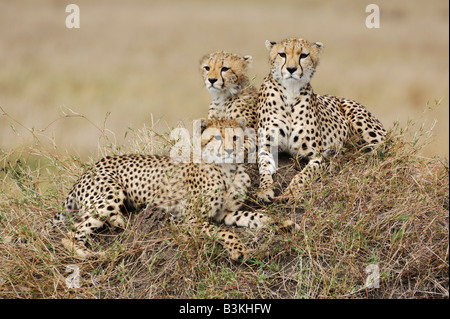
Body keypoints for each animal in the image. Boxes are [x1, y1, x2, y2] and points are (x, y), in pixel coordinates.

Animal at [54, 119, 298, 262]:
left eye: (236, 137)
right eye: (217, 137)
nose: (230, 149)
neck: (228, 170)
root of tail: (88, 170)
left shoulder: (226, 213)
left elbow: (256, 215)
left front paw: (282, 223)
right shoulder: (192, 220)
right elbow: (225, 232)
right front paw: (238, 249)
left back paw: (118, 221)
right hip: (111, 194)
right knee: (70, 234)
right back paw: (89, 254)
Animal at [256, 38, 386, 202]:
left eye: (303, 55)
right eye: (282, 54)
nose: (291, 69)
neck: (290, 92)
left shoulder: (317, 156)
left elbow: (303, 175)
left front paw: (291, 193)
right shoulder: (266, 148)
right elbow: (264, 168)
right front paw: (264, 190)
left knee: (379, 149)